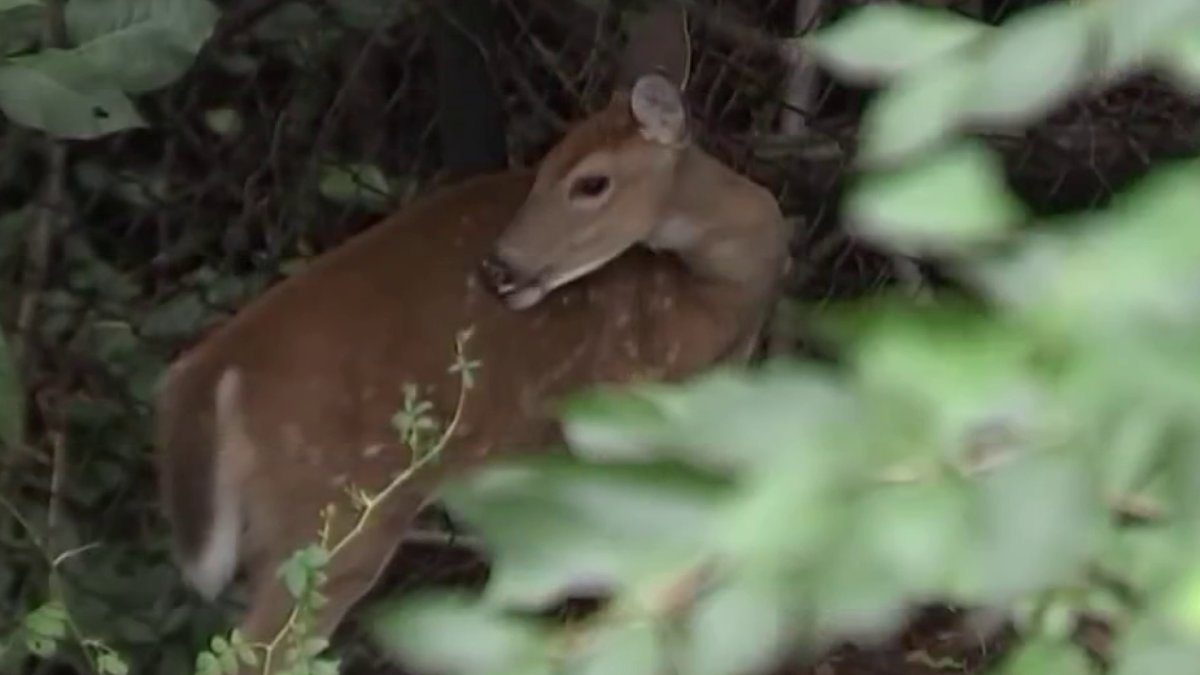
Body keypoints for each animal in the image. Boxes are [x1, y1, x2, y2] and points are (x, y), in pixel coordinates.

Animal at [154, 4, 791, 672]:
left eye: (589, 181)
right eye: (546, 171)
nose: (499, 268)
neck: (720, 296)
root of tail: (208, 373)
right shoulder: (625, 411)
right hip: (335, 514)